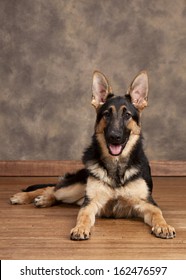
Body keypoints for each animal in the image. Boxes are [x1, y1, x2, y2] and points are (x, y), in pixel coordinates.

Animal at [10, 71, 176, 240]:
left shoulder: (146, 202)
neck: (116, 166)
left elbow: (157, 213)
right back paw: (28, 197)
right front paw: (80, 228)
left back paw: (43, 200)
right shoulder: (91, 203)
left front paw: (164, 226)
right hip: (74, 188)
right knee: (53, 188)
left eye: (127, 115)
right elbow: (83, 216)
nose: (114, 136)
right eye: (107, 114)